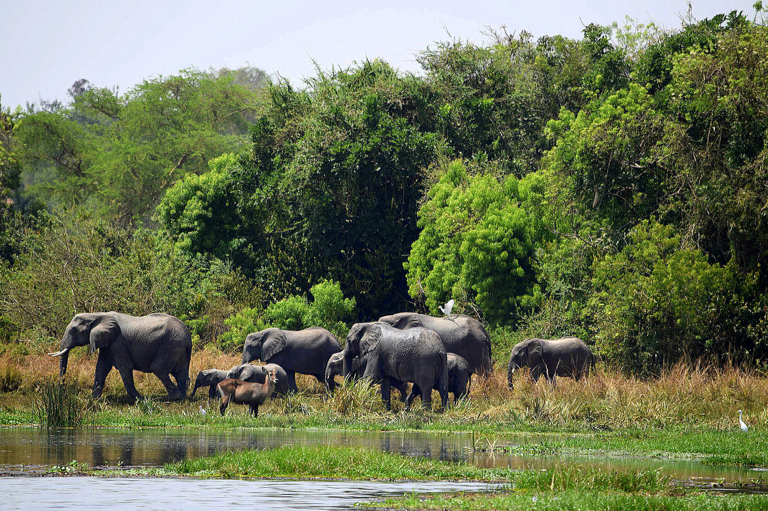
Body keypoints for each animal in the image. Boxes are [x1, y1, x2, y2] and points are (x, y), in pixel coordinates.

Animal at [50, 312, 192, 404]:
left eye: (74, 331)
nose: (60, 391)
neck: (96, 315)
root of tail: (188, 335)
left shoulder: (118, 342)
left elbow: (125, 368)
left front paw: (141, 400)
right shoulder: (108, 343)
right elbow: (101, 368)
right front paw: (94, 399)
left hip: (170, 346)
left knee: (158, 369)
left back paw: (174, 398)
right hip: (179, 348)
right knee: (180, 373)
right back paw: (182, 398)